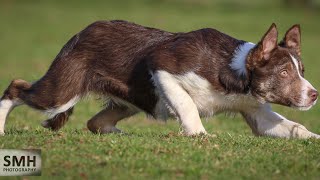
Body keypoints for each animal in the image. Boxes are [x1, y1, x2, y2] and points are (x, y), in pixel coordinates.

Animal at [0, 20, 320, 138]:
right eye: (284, 72)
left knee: (95, 121)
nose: (315, 94)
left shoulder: (256, 111)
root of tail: (80, 33)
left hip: (129, 99)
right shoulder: (163, 67)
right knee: (16, 88)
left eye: (301, 71)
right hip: (62, 91)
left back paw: (118, 134)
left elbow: (293, 127)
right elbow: (187, 104)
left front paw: (313, 140)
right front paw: (199, 134)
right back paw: (1, 128)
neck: (235, 71)